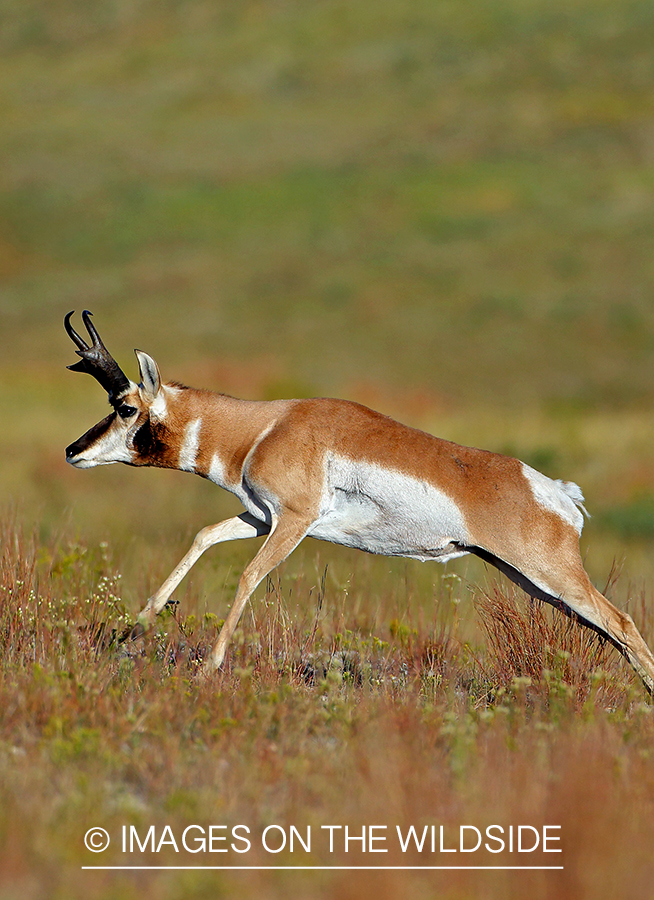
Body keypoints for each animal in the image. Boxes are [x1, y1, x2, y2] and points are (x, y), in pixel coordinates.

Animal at [64, 312, 654, 692]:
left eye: (124, 407)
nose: (73, 451)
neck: (268, 426)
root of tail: (553, 490)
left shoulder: (292, 524)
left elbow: (249, 576)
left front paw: (209, 667)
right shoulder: (261, 518)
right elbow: (204, 536)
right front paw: (134, 627)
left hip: (550, 574)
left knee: (622, 623)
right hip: (533, 582)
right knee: (608, 631)